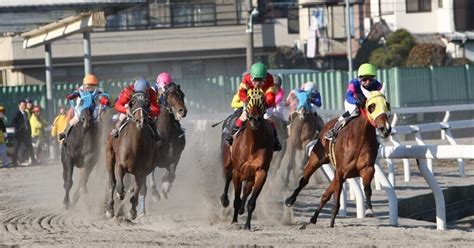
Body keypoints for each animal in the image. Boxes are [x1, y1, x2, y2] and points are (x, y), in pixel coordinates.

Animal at [103, 91, 157, 219]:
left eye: (147, 104)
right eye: (132, 103)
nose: (140, 120)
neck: (135, 145)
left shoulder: (142, 172)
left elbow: (137, 191)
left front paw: (132, 212)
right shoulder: (120, 165)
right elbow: (120, 186)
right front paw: (120, 194)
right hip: (109, 156)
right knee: (112, 182)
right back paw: (110, 208)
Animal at [219, 88, 274, 230]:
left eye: (263, 99)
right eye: (248, 98)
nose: (254, 119)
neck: (253, 145)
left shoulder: (261, 172)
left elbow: (251, 201)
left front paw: (247, 225)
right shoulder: (238, 171)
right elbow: (236, 198)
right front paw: (234, 220)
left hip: (250, 175)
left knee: (246, 190)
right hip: (228, 161)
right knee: (227, 176)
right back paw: (224, 200)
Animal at [284, 85, 390, 227]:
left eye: (387, 104)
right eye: (371, 106)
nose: (386, 129)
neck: (360, 139)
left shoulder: (367, 168)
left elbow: (367, 189)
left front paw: (369, 210)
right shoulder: (340, 171)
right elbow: (337, 199)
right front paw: (331, 222)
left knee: (326, 194)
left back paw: (314, 218)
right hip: (316, 159)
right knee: (304, 180)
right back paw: (290, 200)